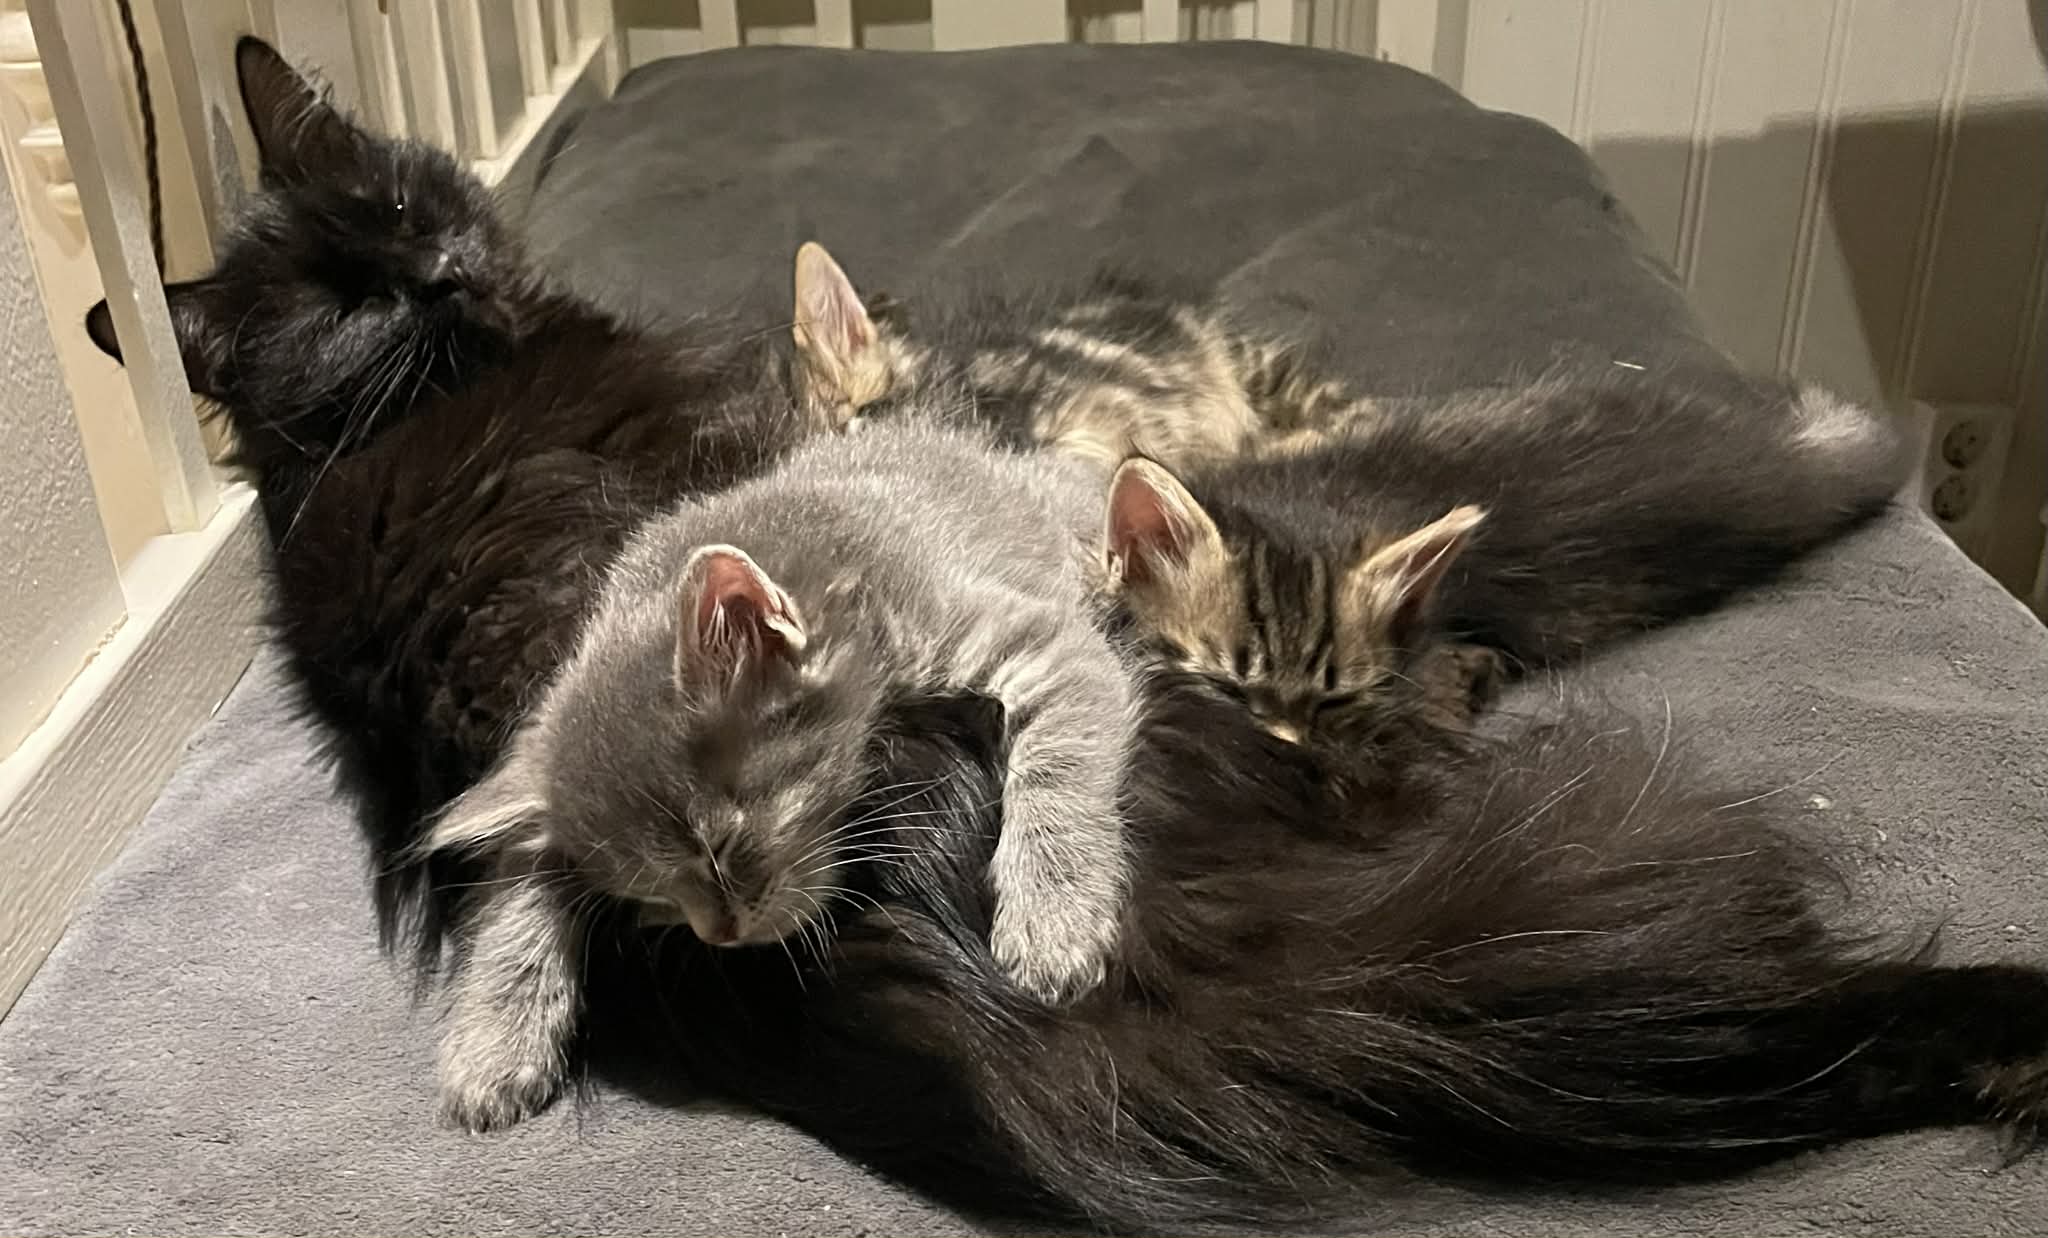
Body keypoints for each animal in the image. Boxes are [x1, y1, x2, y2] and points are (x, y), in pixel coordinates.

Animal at [422, 412, 1145, 1128]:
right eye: (650, 897)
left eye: (719, 846)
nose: (719, 937)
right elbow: (522, 872)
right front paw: (495, 1033)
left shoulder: (1041, 643)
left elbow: (1061, 759)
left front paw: (1055, 916)